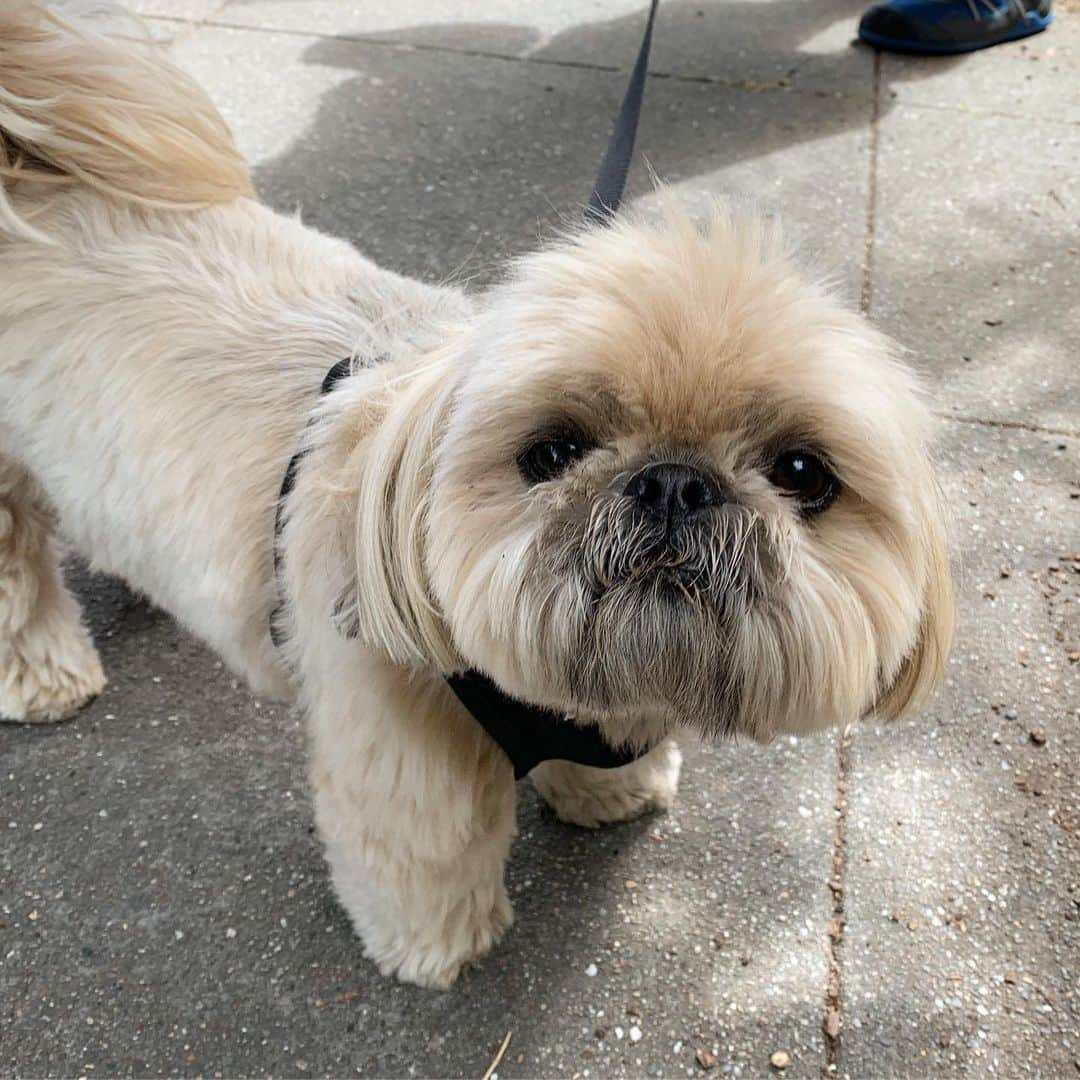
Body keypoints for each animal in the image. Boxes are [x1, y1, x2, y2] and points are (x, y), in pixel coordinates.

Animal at [0, 0, 950, 989]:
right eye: (553, 450)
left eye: (802, 473)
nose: (675, 483)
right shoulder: (402, 751)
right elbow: (427, 850)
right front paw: (435, 945)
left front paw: (611, 790)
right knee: (18, 569)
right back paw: (45, 675)